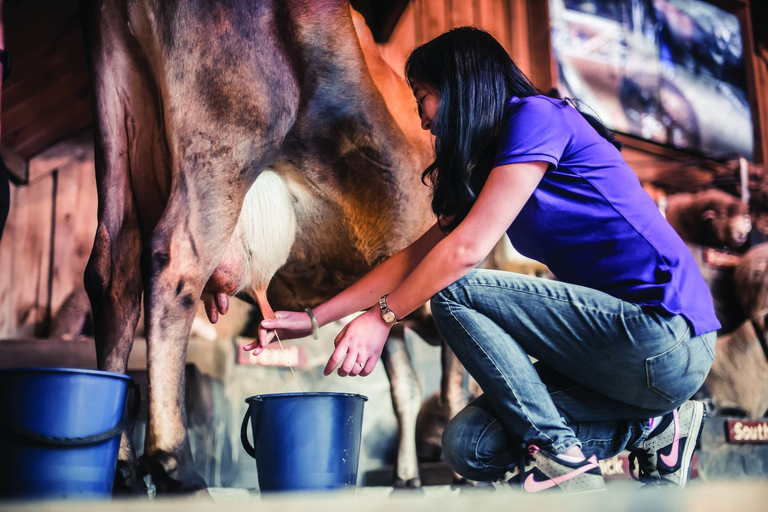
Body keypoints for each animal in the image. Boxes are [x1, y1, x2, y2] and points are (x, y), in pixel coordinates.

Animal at [79, 0, 462, 492]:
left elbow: (406, 388)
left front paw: (408, 478)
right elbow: (455, 384)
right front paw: (462, 475)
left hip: (121, 130)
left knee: (113, 275)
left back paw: (122, 469)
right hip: (230, 134)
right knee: (176, 262)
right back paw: (176, 466)